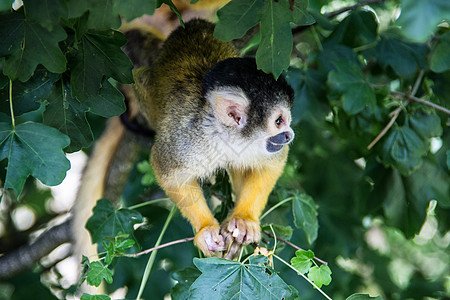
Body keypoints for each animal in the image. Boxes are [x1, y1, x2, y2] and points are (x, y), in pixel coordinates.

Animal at [134, 19, 296, 258]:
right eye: (278, 121)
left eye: (285, 120)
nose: (289, 134)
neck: (226, 136)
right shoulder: (185, 140)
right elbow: (168, 173)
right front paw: (205, 229)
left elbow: (271, 165)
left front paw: (244, 220)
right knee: (140, 77)